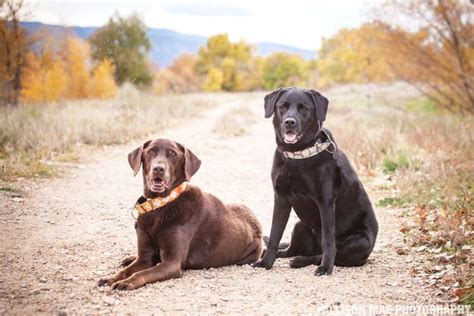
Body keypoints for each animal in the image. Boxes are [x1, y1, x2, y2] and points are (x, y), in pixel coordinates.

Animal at [98, 139, 262, 290]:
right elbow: (126, 270)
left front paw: (126, 283)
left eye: (173, 153)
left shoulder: (172, 263)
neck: (159, 206)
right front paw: (111, 278)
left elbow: (141, 273)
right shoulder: (144, 258)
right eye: (150, 151)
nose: (158, 169)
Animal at [254, 87, 380, 276]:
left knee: (322, 254)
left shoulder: (325, 202)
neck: (298, 156)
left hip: (359, 242)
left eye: (303, 108)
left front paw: (326, 267)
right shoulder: (281, 198)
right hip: (300, 226)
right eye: (282, 106)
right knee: (291, 250)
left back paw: (302, 261)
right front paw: (266, 262)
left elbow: (328, 241)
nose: (289, 122)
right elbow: (275, 233)